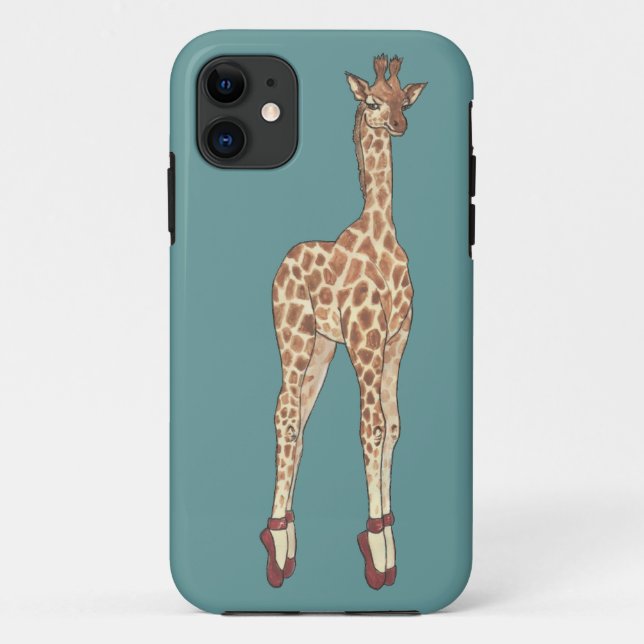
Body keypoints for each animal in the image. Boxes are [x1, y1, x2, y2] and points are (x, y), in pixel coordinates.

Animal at [260, 54, 427, 590]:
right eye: (372, 101)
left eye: (403, 101)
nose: (398, 125)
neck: (381, 233)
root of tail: (283, 263)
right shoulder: (365, 340)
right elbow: (370, 427)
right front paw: (375, 551)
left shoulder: (397, 340)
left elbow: (393, 426)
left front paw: (389, 544)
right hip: (293, 336)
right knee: (286, 414)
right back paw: (276, 546)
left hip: (320, 347)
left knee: (299, 419)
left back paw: (285, 542)